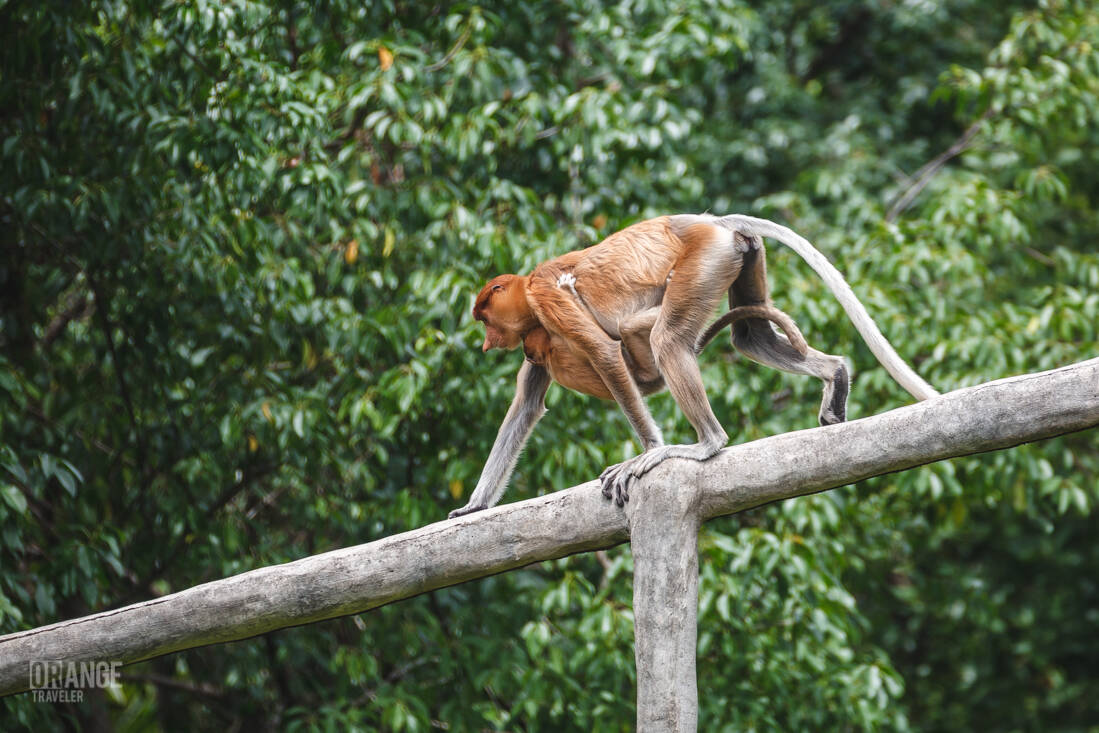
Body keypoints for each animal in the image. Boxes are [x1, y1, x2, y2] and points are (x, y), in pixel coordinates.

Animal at [448, 214, 937, 518]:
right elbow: (527, 405)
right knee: (750, 336)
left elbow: (603, 352)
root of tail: (716, 223)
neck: (529, 287)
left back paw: (704, 444)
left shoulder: (546, 301)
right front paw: (474, 506)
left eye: (485, 318)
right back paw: (835, 375)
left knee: (664, 339)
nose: (488, 344)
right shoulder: (536, 341)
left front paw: (648, 451)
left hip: (704, 261)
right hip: (742, 259)